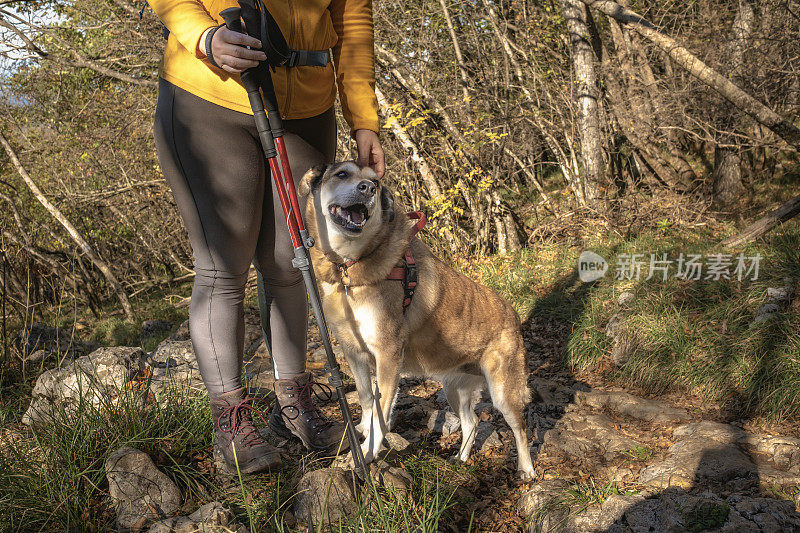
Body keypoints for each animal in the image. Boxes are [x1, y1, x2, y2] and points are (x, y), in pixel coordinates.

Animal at [296, 162, 536, 478]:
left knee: (519, 426)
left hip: (503, 391)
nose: (368, 189)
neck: (349, 270)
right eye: (342, 174)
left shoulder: (387, 356)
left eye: (375, 181)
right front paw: (362, 435)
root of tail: (514, 314)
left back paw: (527, 469)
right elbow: (366, 401)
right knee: (471, 423)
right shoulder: (354, 353)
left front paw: (367, 454)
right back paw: (460, 458)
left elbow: (381, 413)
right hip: (454, 388)